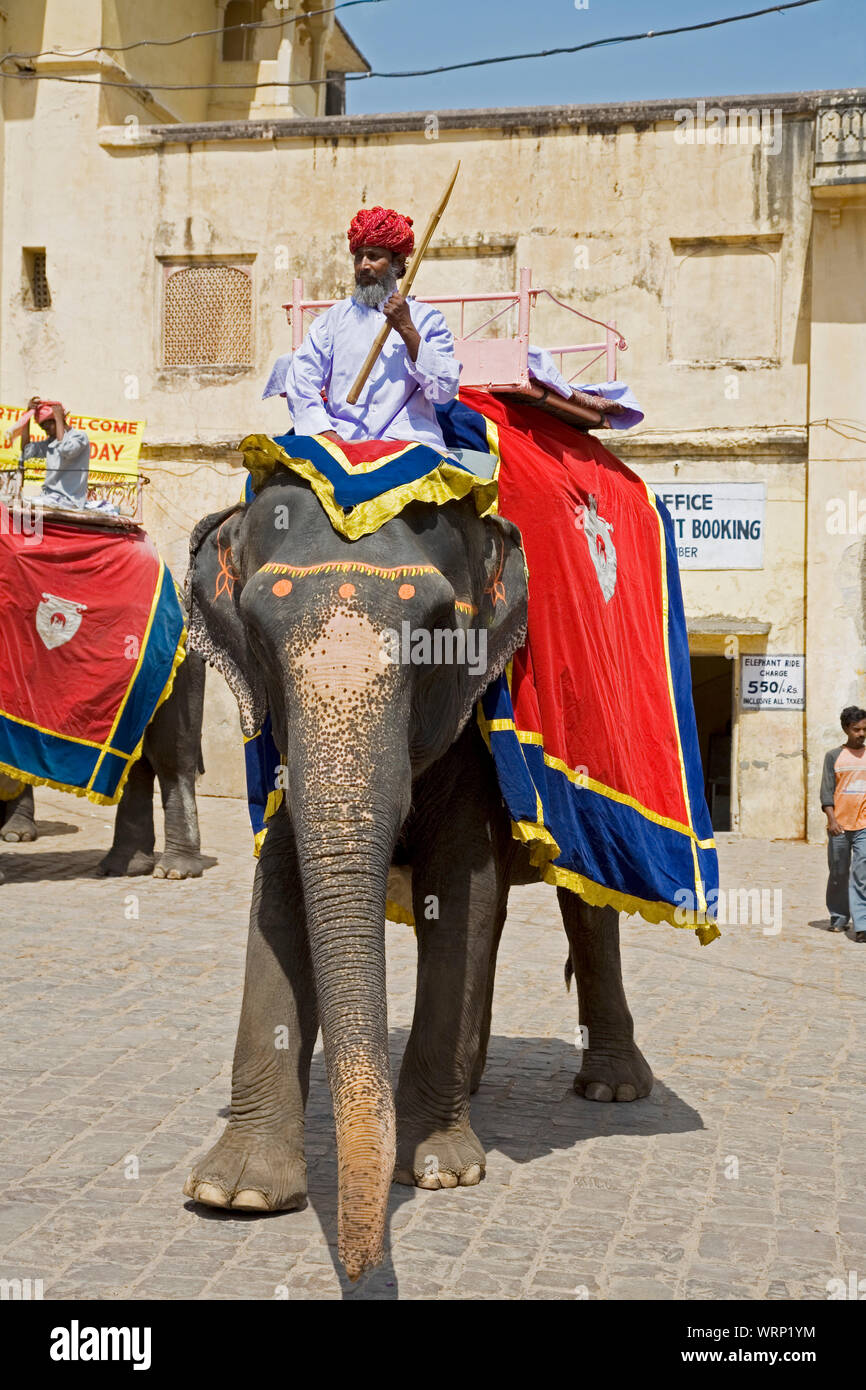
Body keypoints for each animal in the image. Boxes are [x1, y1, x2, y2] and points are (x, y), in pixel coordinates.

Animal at [184, 464, 650, 1278]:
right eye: (261, 641)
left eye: (434, 634)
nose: (360, 1264)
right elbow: (280, 894)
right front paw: (234, 1193)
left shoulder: (475, 724)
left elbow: (460, 890)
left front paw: (440, 1171)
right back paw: (476, 1081)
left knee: (585, 907)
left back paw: (612, 1087)